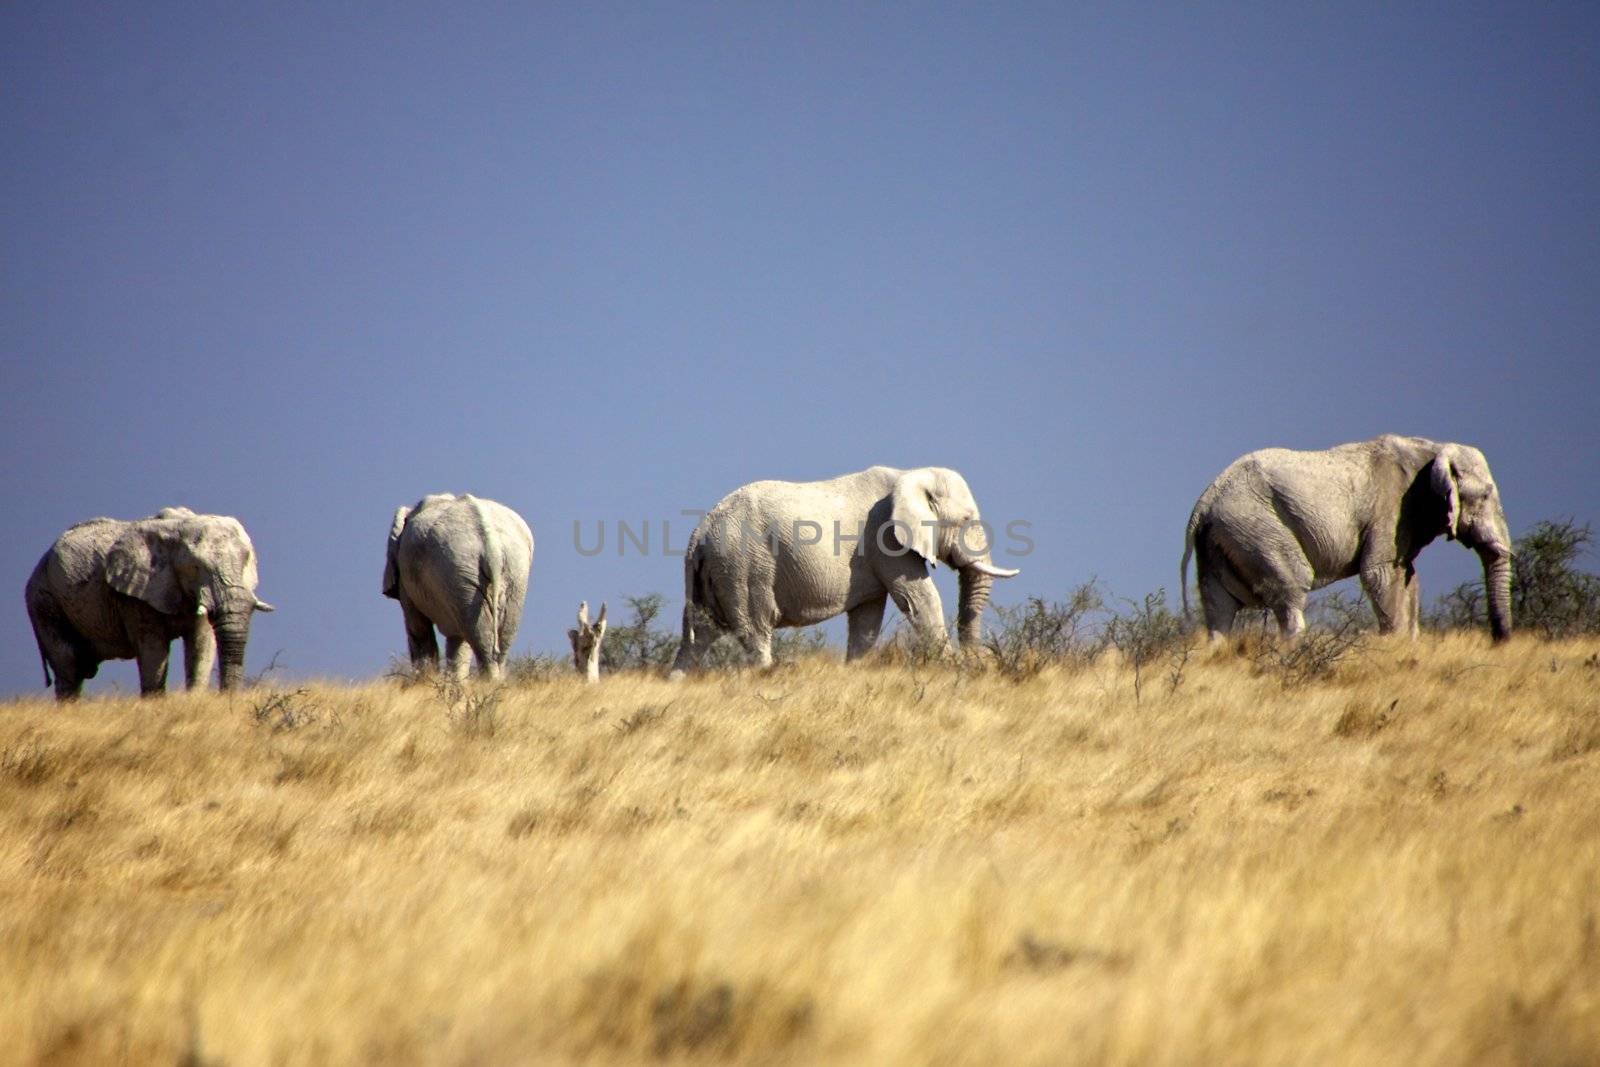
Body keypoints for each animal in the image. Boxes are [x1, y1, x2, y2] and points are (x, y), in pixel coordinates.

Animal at [25, 508, 275, 700]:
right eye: (195, 567)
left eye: (246, 559)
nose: (228, 698)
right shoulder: (135, 596)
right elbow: (154, 650)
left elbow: (201, 644)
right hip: (43, 601)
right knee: (68, 664)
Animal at [380, 489, 531, 675]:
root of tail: (492, 547)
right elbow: (457, 639)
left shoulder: (405, 578)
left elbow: (418, 629)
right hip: (512, 571)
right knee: (499, 635)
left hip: (458, 567)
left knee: (477, 635)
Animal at [668, 463, 1017, 671]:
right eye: (967, 519)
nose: (981, 658)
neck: (909, 474)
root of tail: (699, 534)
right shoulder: (885, 538)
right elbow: (919, 597)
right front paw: (953, 668)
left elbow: (867, 618)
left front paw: (854, 672)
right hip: (744, 568)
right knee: (755, 630)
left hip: (715, 573)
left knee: (697, 636)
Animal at [1177, 435, 1510, 643]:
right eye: (1485, 495)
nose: (1499, 640)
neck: (1432, 449)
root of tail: (1203, 503)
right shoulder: (1391, 508)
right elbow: (1381, 573)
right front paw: (1395, 647)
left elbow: (1408, 578)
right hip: (1258, 531)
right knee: (1291, 590)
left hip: (1221, 540)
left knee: (1219, 608)